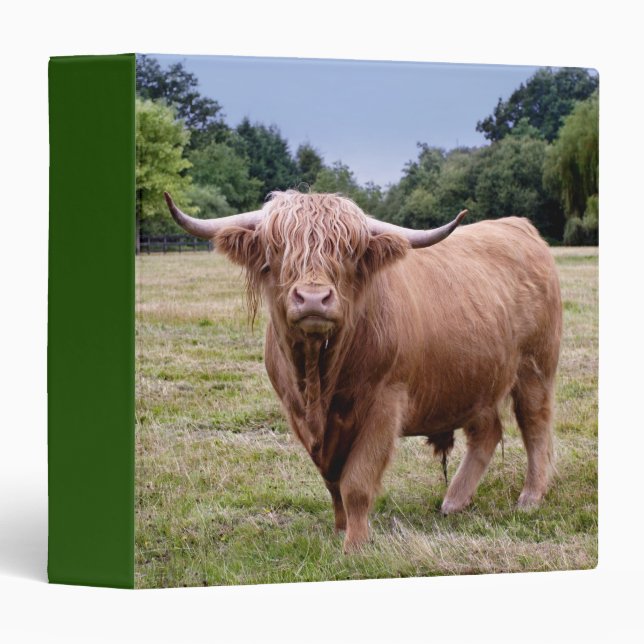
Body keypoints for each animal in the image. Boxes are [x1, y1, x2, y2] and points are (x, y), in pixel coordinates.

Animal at [164, 190, 562, 553]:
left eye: (347, 253)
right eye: (277, 250)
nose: (313, 299)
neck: (319, 381)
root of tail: (519, 226)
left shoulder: (385, 405)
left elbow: (355, 481)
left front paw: (355, 544)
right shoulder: (297, 413)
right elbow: (332, 480)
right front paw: (340, 528)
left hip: (534, 368)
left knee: (535, 425)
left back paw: (530, 497)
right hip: (473, 379)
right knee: (487, 432)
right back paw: (454, 501)